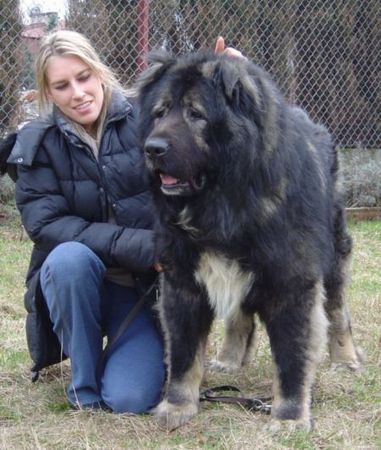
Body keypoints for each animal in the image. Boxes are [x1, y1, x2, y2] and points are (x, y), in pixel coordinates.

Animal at [135, 51, 360, 430]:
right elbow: (183, 355)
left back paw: (345, 359)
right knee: (239, 316)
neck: (225, 203)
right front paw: (177, 407)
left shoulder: (292, 284)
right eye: (160, 113)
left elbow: (292, 358)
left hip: (333, 256)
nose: (153, 148)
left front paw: (289, 417)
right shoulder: (182, 282)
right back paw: (229, 358)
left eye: (196, 114)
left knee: (337, 309)